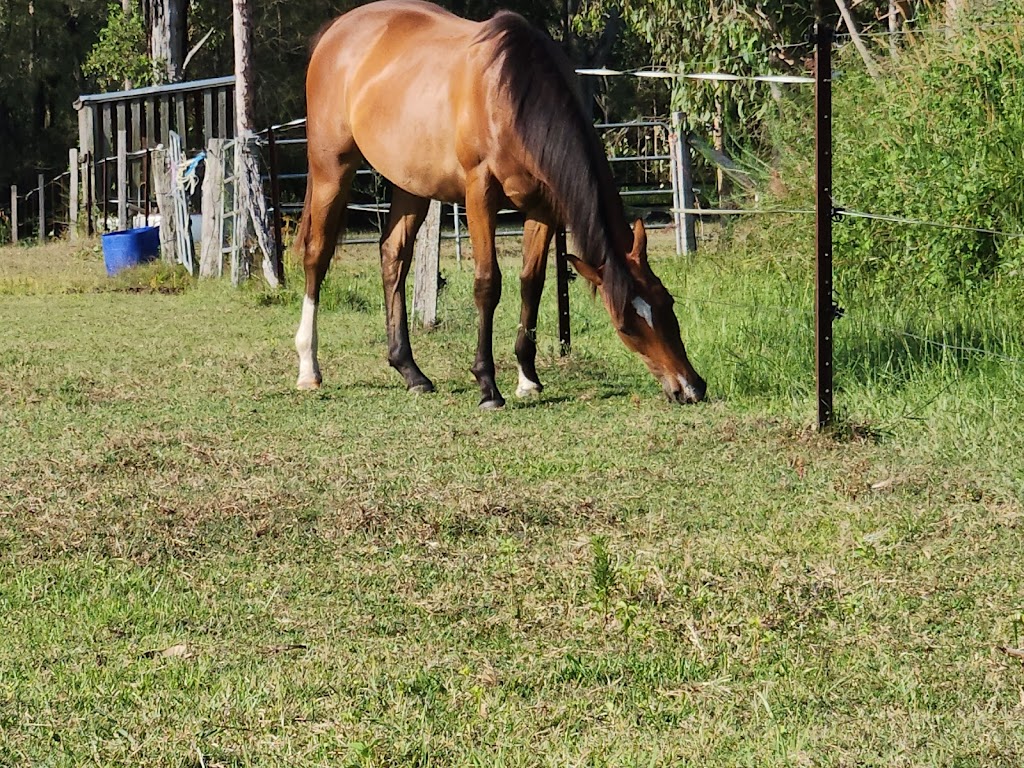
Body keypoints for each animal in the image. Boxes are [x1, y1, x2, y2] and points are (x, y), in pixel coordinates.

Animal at [294, 0, 706, 408]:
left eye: (667, 303)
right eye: (626, 326)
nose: (690, 388)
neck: (510, 95)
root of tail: (335, 32)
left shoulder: (543, 207)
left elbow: (531, 283)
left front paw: (528, 378)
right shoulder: (480, 193)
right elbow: (487, 283)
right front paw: (487, 385)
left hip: (410, 184)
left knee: (393, 256)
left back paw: (410, 371)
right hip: (332, 168)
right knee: (317, 254)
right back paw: (308, 369)